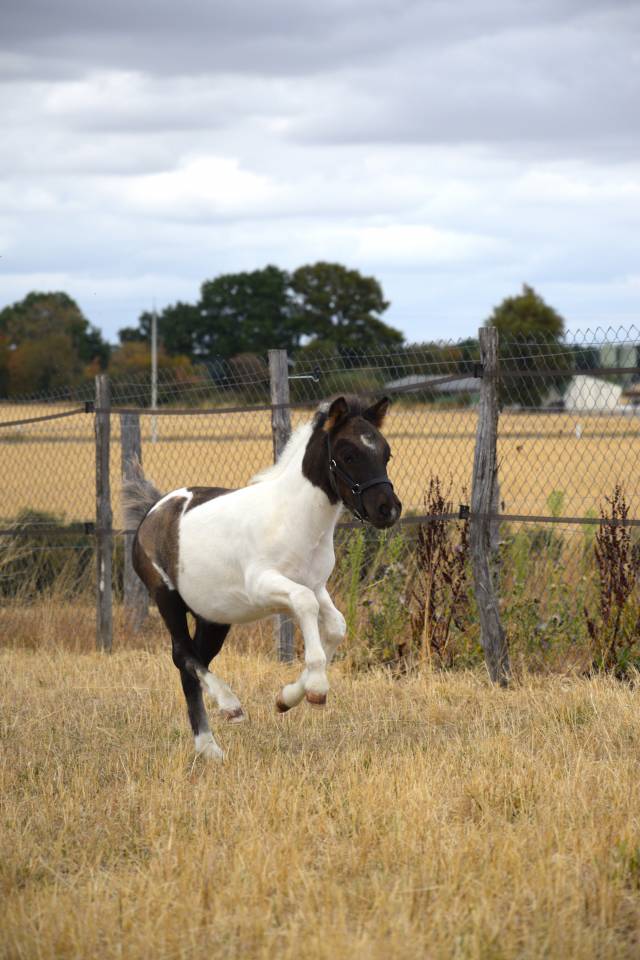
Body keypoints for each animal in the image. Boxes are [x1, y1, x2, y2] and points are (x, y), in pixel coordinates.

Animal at [122, 394, 402, 760]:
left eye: (385, 453)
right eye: (348, 454)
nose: (389, 510)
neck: (294, 520)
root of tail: (153, 510)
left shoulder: (315, 585)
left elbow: (336, 625)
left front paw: (286, 699)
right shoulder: (265, 585)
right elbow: (306, 606)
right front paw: (316, 689)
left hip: (213, 617)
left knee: (191, 663)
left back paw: (208, 747)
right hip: (166, 597)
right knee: (182, 654)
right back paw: (230, 708)